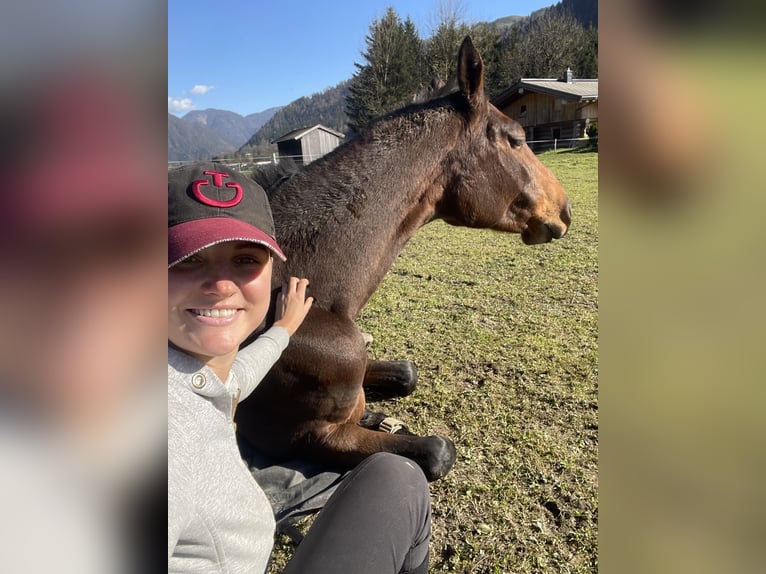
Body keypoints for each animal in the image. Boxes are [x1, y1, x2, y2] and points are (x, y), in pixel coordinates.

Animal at [237, 37, 571, 481]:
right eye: (516, 139)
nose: (565, 210)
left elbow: (405, 373)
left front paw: (375, 413)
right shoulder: (306, 438)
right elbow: (437, 451)